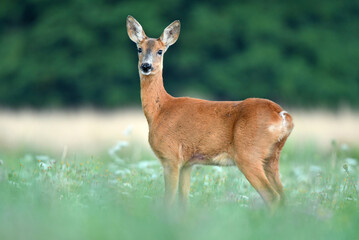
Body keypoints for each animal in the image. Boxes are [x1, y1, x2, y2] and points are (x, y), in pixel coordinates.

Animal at [128, 15, 294, 210]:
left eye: (160, 51)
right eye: (139, 48)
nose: (146, 66)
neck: (160, 110)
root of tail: (282, 115)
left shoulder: (171, 157)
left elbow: (168, 200)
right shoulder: (187, 164)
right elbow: (183, 201)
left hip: (249, 154)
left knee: (272, 196)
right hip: (272, 157)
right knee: (283, 196)